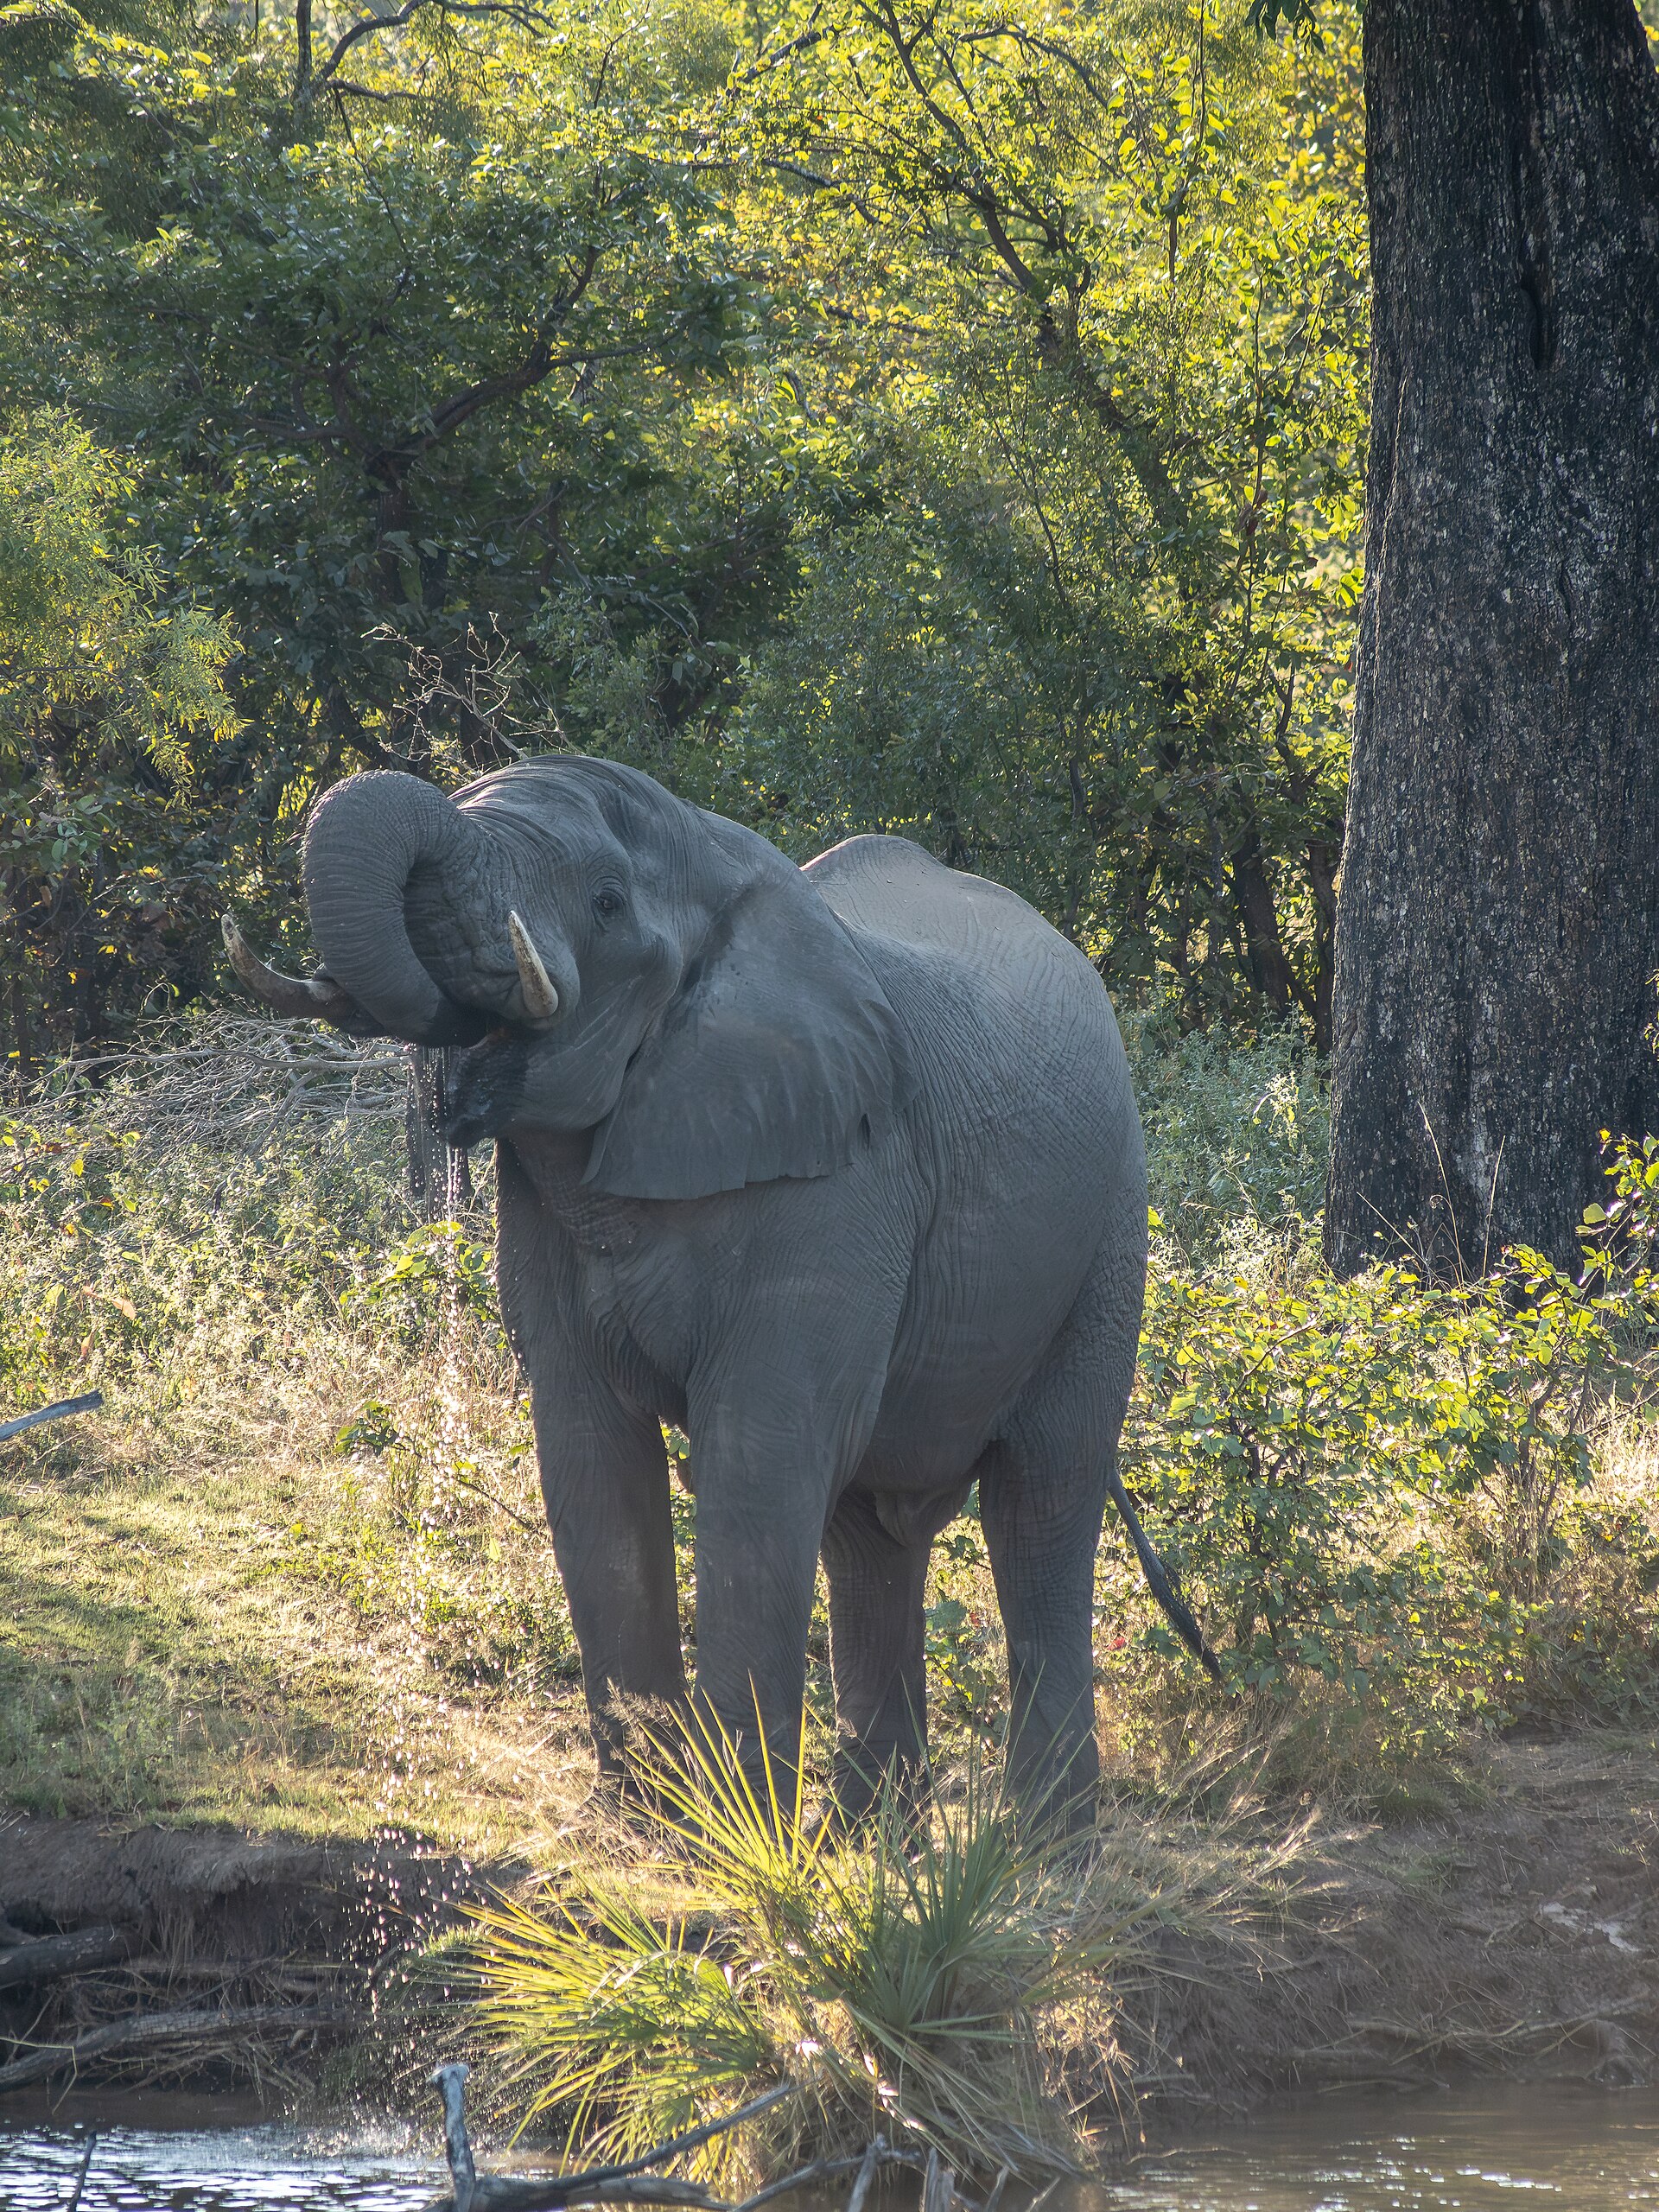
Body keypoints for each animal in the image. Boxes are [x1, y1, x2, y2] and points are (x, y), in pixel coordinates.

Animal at [227, 757, 1217, 1825]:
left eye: (607, 902)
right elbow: (591, 1458)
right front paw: (642, 1821)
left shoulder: (843, 1178)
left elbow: (759, 1457)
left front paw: (732, 1834)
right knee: (869, 1534)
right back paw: (874, 1830)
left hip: (1110, 1228)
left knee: (1042, 1496)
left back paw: (1038, 1840)